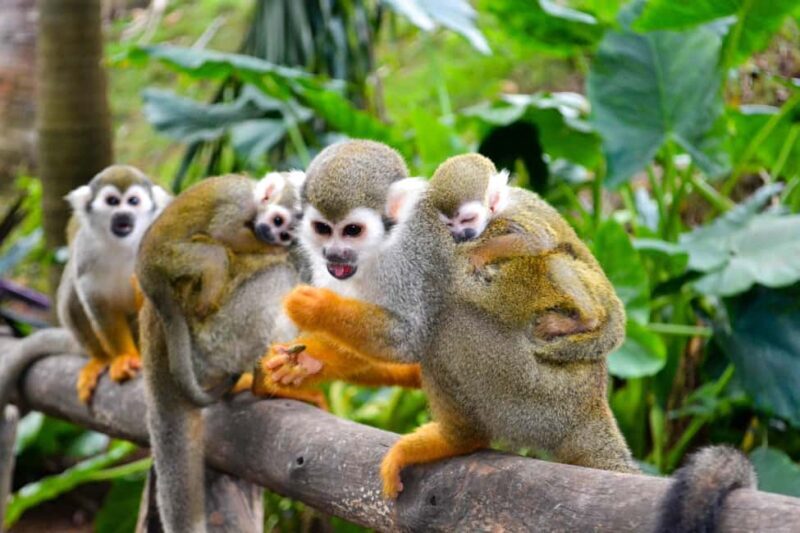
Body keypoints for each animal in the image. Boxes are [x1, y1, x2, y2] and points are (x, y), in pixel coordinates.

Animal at [56, 165, 171, 403]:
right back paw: (101, 359)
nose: (123, 214)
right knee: (71, 293)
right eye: (112, 201)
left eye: (133, 201)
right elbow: (98, 303)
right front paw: (125, 357)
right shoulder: (85, 251)